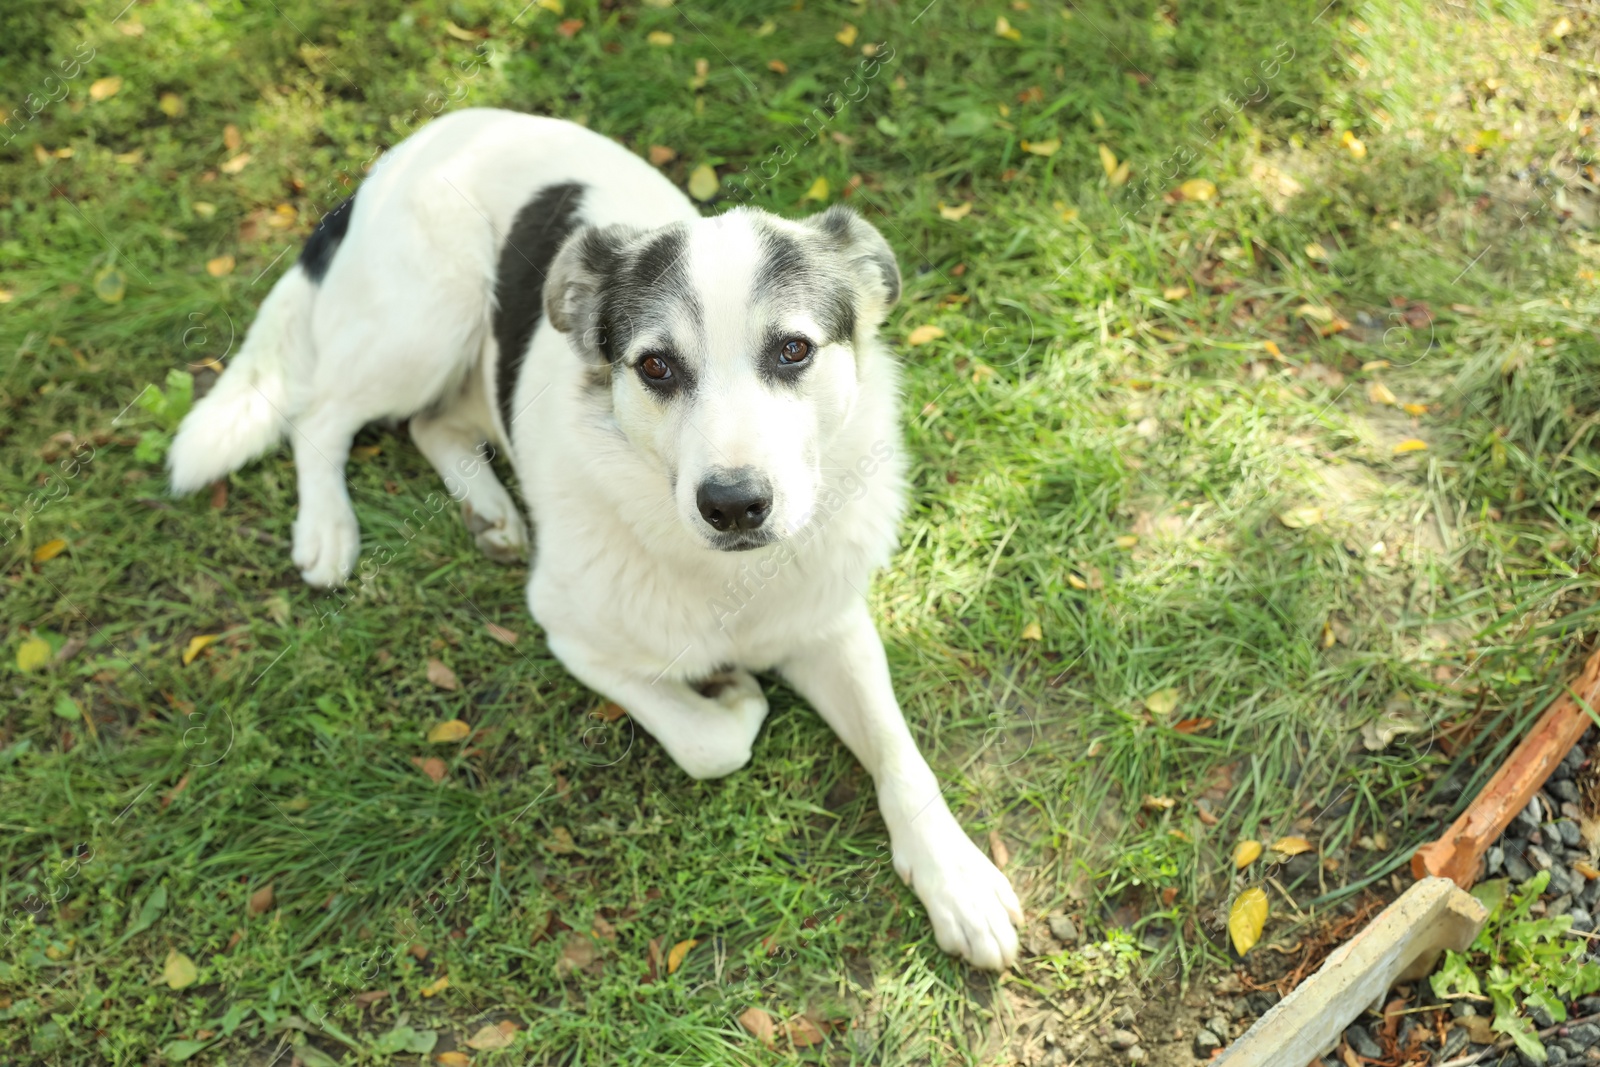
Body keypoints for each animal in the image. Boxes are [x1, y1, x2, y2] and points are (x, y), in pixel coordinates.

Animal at [168, 108, 1017, 966]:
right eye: (656, 366)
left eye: (794, 350)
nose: (734, 505)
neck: (723, 576)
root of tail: (410, 146)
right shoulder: (572, 636)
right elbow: (711, 744)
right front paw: (735, 694)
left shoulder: (832, 622)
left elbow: (901, 755)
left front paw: (955, 876)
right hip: (426, 322)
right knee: (323, 413)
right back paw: (328, 528)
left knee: (428, 423)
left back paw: (488, 509)